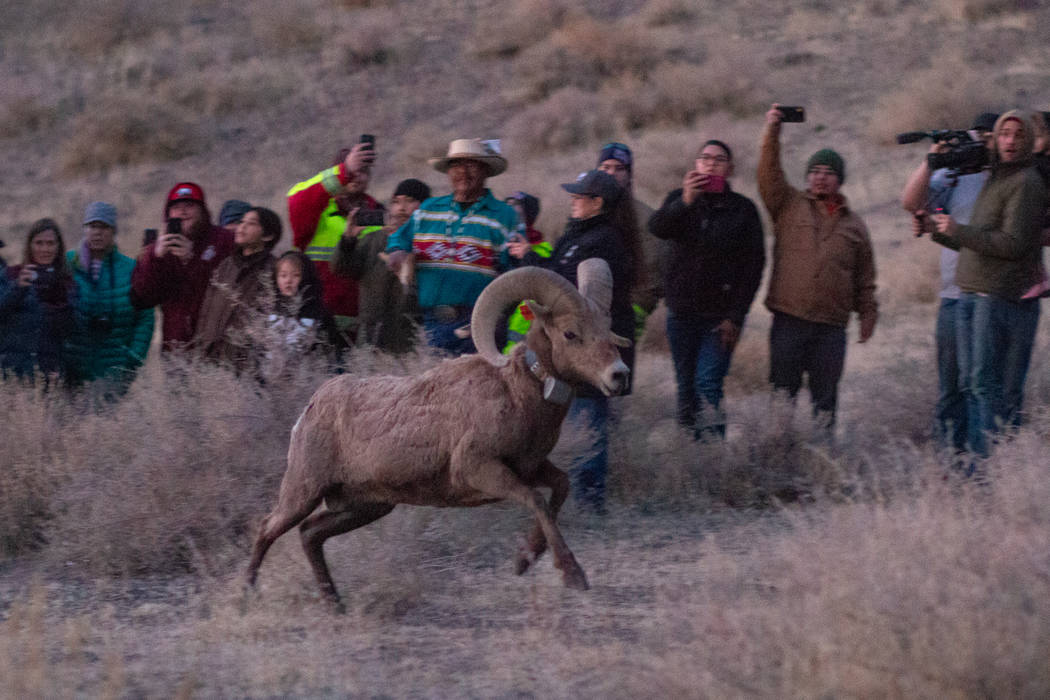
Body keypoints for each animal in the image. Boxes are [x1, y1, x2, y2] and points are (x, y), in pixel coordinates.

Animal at [241, 260, 625, 608]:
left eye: (607, 328)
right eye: (570, 333)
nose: (618, 375)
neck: (516, 393)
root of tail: (310, 407)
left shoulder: (532, 467)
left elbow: (560, 487)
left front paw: (525, 561)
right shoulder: (481, 470)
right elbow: (537, 500)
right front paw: (571, 575)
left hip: (365, 506)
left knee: (310, 534)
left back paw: (334, 603)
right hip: (304, 492)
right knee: (267, 528)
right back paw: (247, 595)